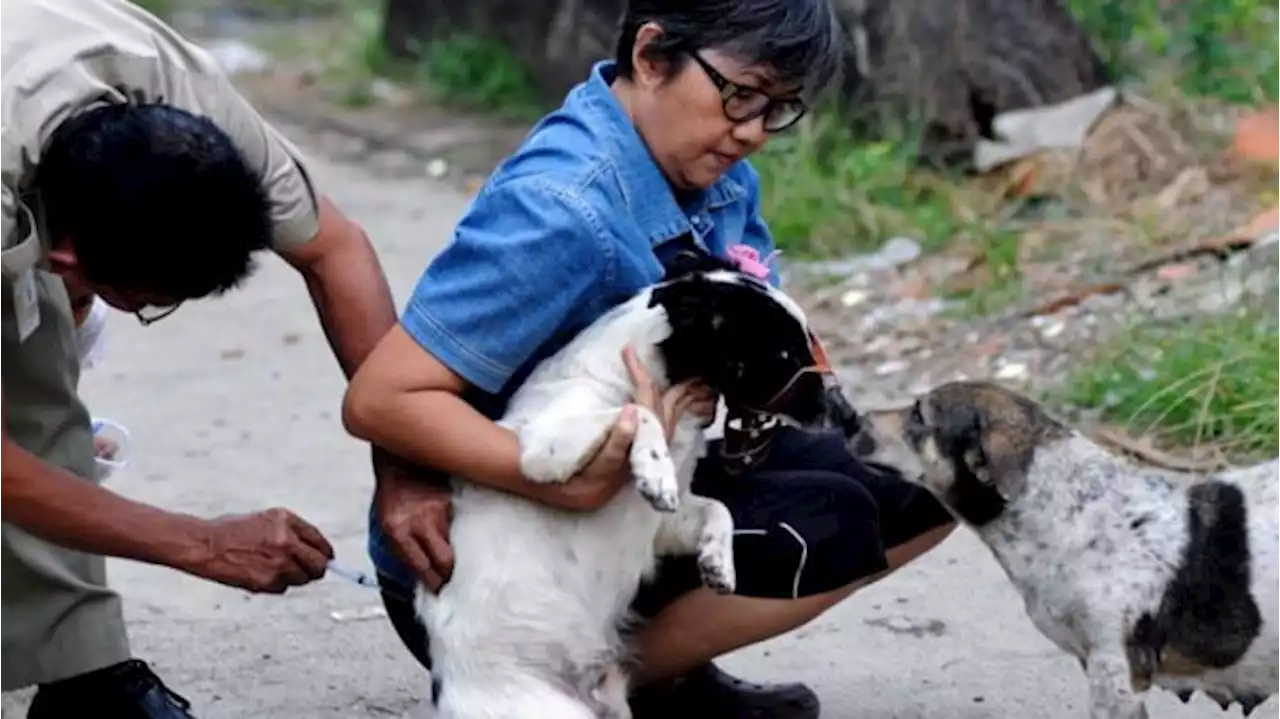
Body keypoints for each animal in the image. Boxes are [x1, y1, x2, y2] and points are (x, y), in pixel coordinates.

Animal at [419, 250, 839, 716]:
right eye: (784, 353)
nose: (842, 412)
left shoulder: (664, 528)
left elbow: (719, 510)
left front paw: (718, 561)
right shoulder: (543, 451)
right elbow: (639, 412)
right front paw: (653, 470)